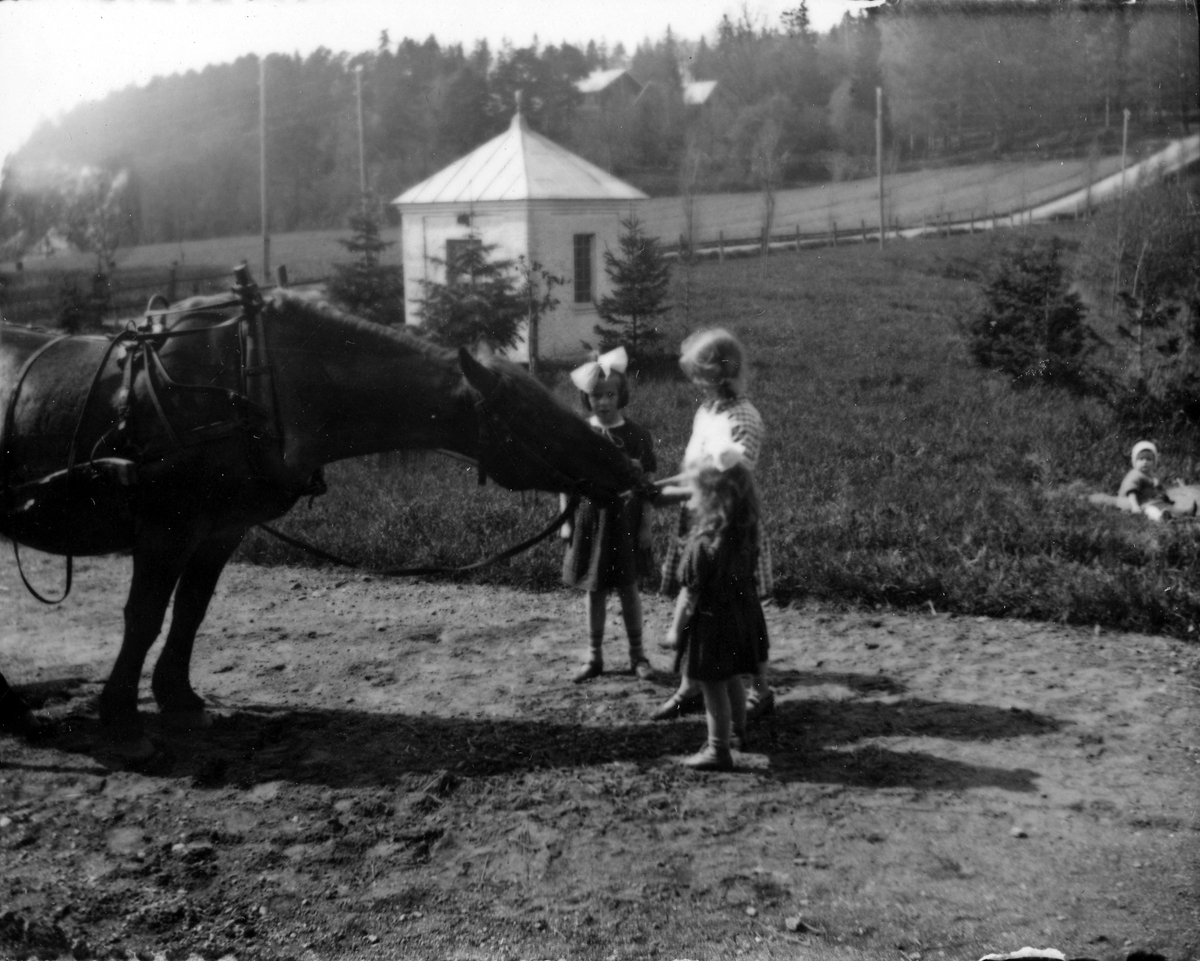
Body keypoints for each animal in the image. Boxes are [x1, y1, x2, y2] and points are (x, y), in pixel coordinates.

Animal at [2, 273, 648, 753]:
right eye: (529, 415)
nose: (627, 470)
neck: (257, 374)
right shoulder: (168, 527)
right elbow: (144, 617)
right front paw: (120, 714)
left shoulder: (220, 529)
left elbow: (190, 611)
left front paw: (178, 697)